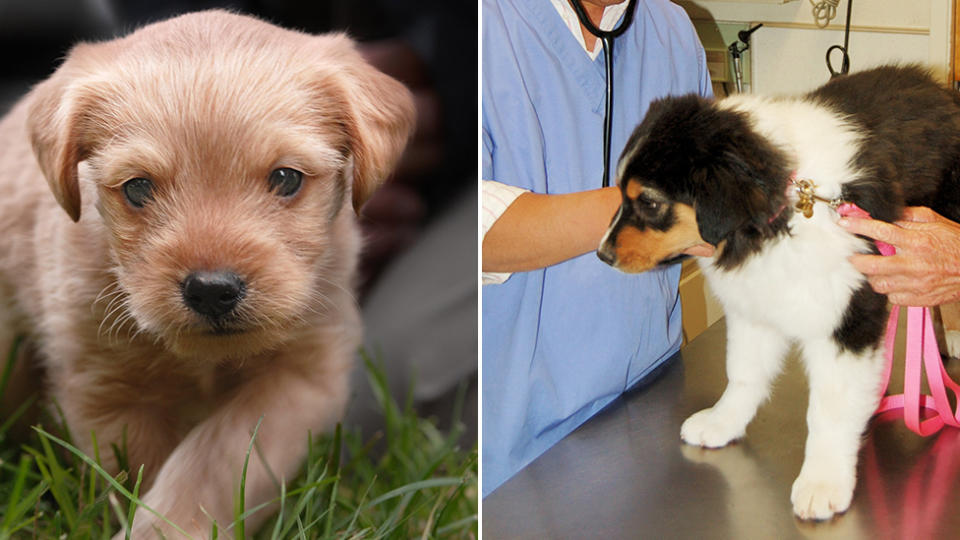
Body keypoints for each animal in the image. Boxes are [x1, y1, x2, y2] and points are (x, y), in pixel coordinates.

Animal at [0, 10, 410, 536]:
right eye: (137, 188)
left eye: (286, 178)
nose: (212, 291)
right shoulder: (104, 388)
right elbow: (140, 468)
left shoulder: (303, 376)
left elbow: (217, 460)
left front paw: (170, 524)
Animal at [600, 65, 960, 520]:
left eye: (648, 202)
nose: (602, 254)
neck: (789, 203)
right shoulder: (756, 302)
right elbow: (742, 372)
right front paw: (722, 422)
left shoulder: (848, 317)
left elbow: (830, 407)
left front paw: (823, 482)